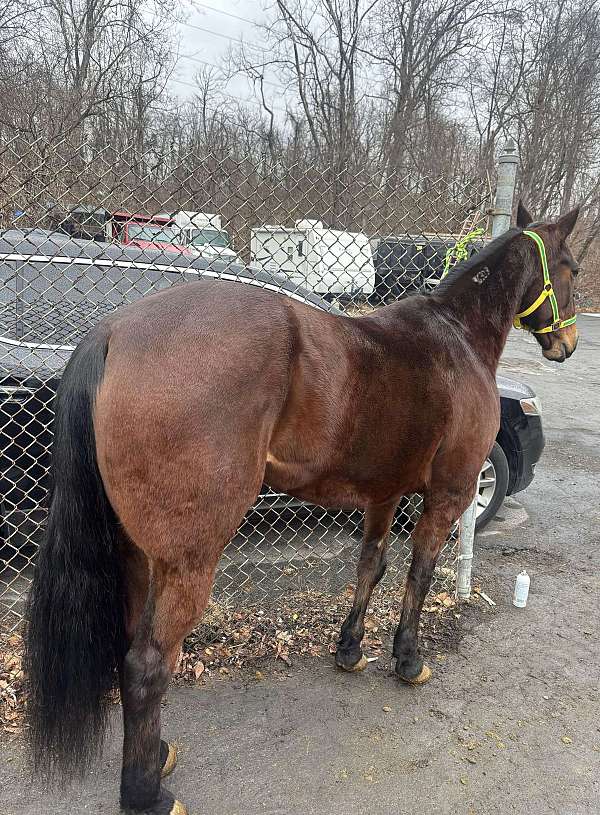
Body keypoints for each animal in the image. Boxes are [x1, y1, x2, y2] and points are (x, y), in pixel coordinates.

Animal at [25, 201, 580, 812]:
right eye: (573, 267)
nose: (569, 344)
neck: (457, 339)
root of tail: (113, 332)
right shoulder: (449, 494)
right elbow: (419, 574)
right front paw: (407, 660)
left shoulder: (384, 495)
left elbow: (371, 567)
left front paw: (350, 649)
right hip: (186, 560)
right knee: (149, 664)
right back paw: (146, 791)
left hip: (136, 553)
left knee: (131, 647)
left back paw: (159, 753)